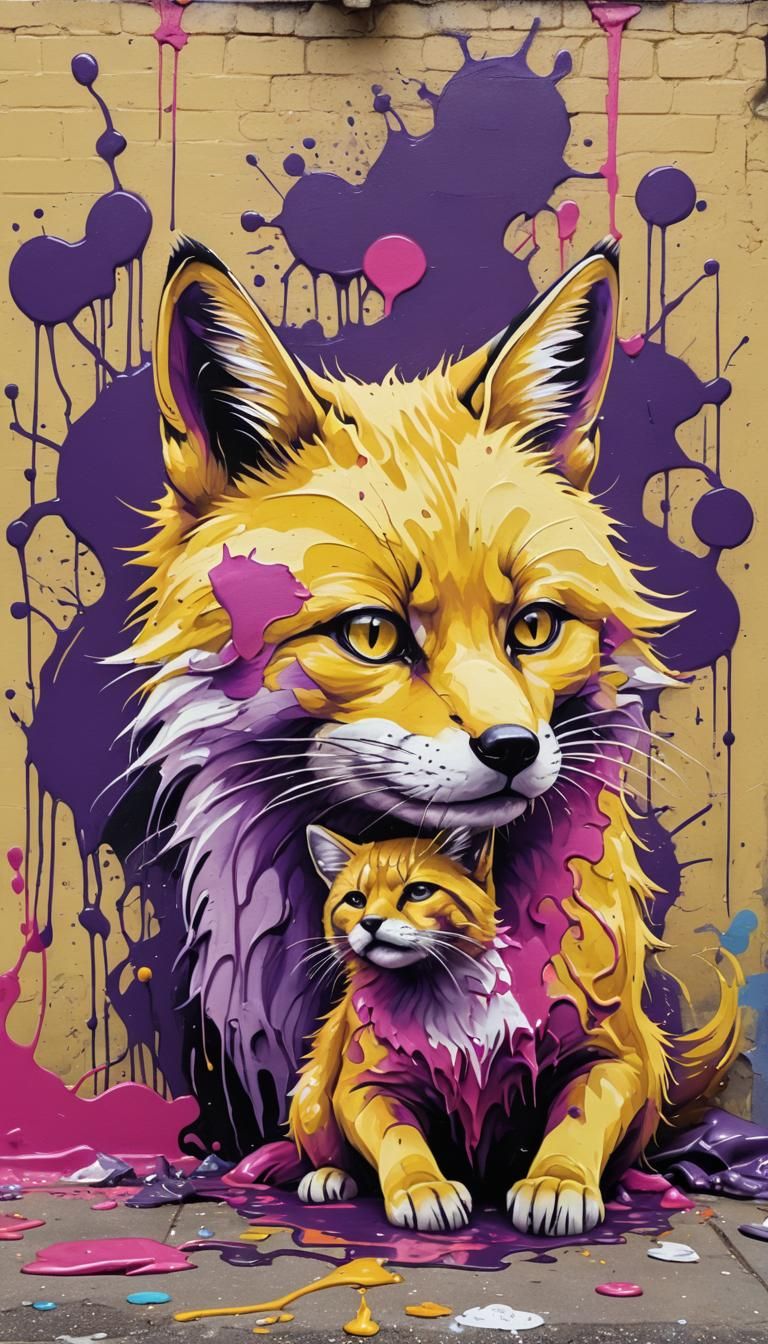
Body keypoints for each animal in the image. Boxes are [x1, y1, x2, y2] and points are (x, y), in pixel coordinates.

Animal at [125, 235, 739, 1234]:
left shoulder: (604, 1045)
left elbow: (582, 1109)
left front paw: (558, 1184)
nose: (514, 751)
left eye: (534, 626)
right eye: (373, 635)